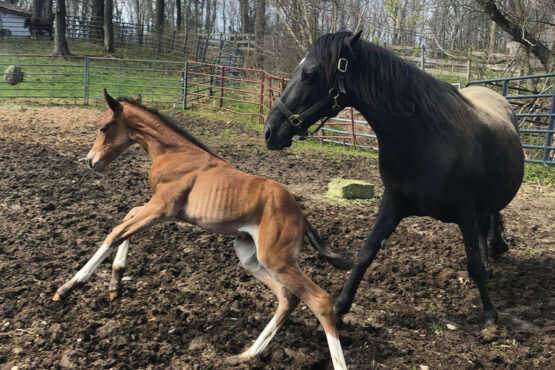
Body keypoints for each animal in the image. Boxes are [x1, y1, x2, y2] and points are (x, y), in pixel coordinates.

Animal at [52, 90, 350, 370]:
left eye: (103, 127)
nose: (91, 161)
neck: (174, 153)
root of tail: (299, 213)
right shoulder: (160, 207)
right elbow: (128, 217)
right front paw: (115, 282)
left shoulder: (163, 207)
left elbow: (116, 231)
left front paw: (69, 287)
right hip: (250, 256)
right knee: (287, 298)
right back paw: (245, 355)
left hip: (276, 260)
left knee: (320, 300)